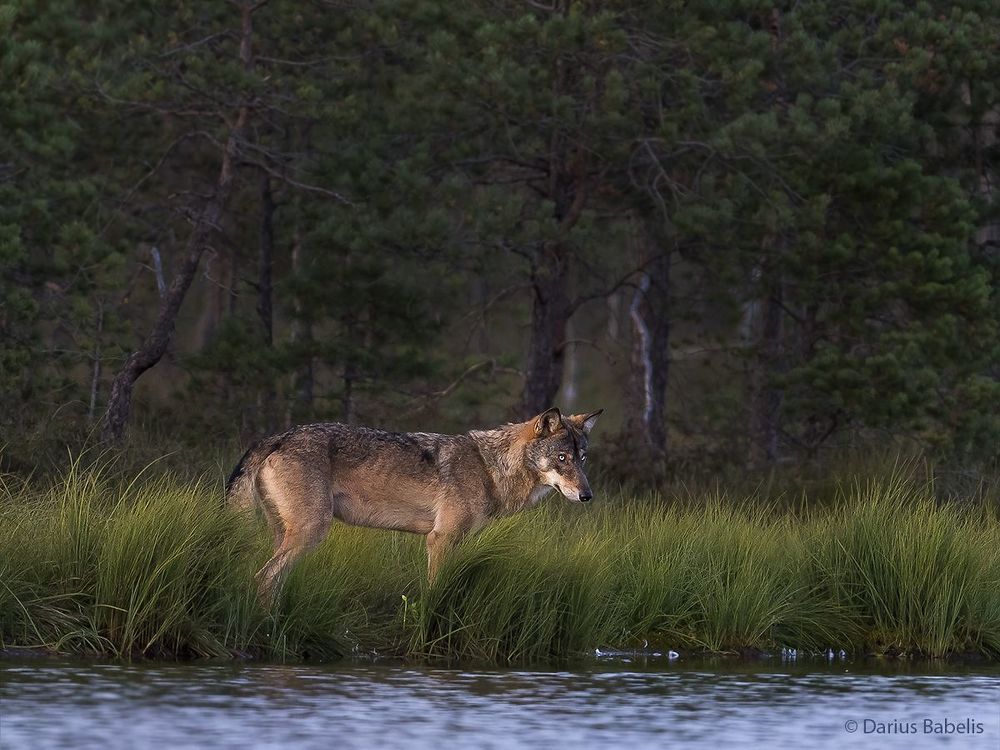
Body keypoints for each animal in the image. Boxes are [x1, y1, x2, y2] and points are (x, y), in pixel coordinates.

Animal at [225, 407, 602, 598]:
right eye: (562, 458)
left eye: (582, 458)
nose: (587, 496)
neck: (489, 467)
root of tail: (276, 437)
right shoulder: (440, 539)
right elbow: (435, 591)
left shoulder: (458, 542)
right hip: (311, 531)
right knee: (263, 577)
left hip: (288, 535)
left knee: (270, 580)